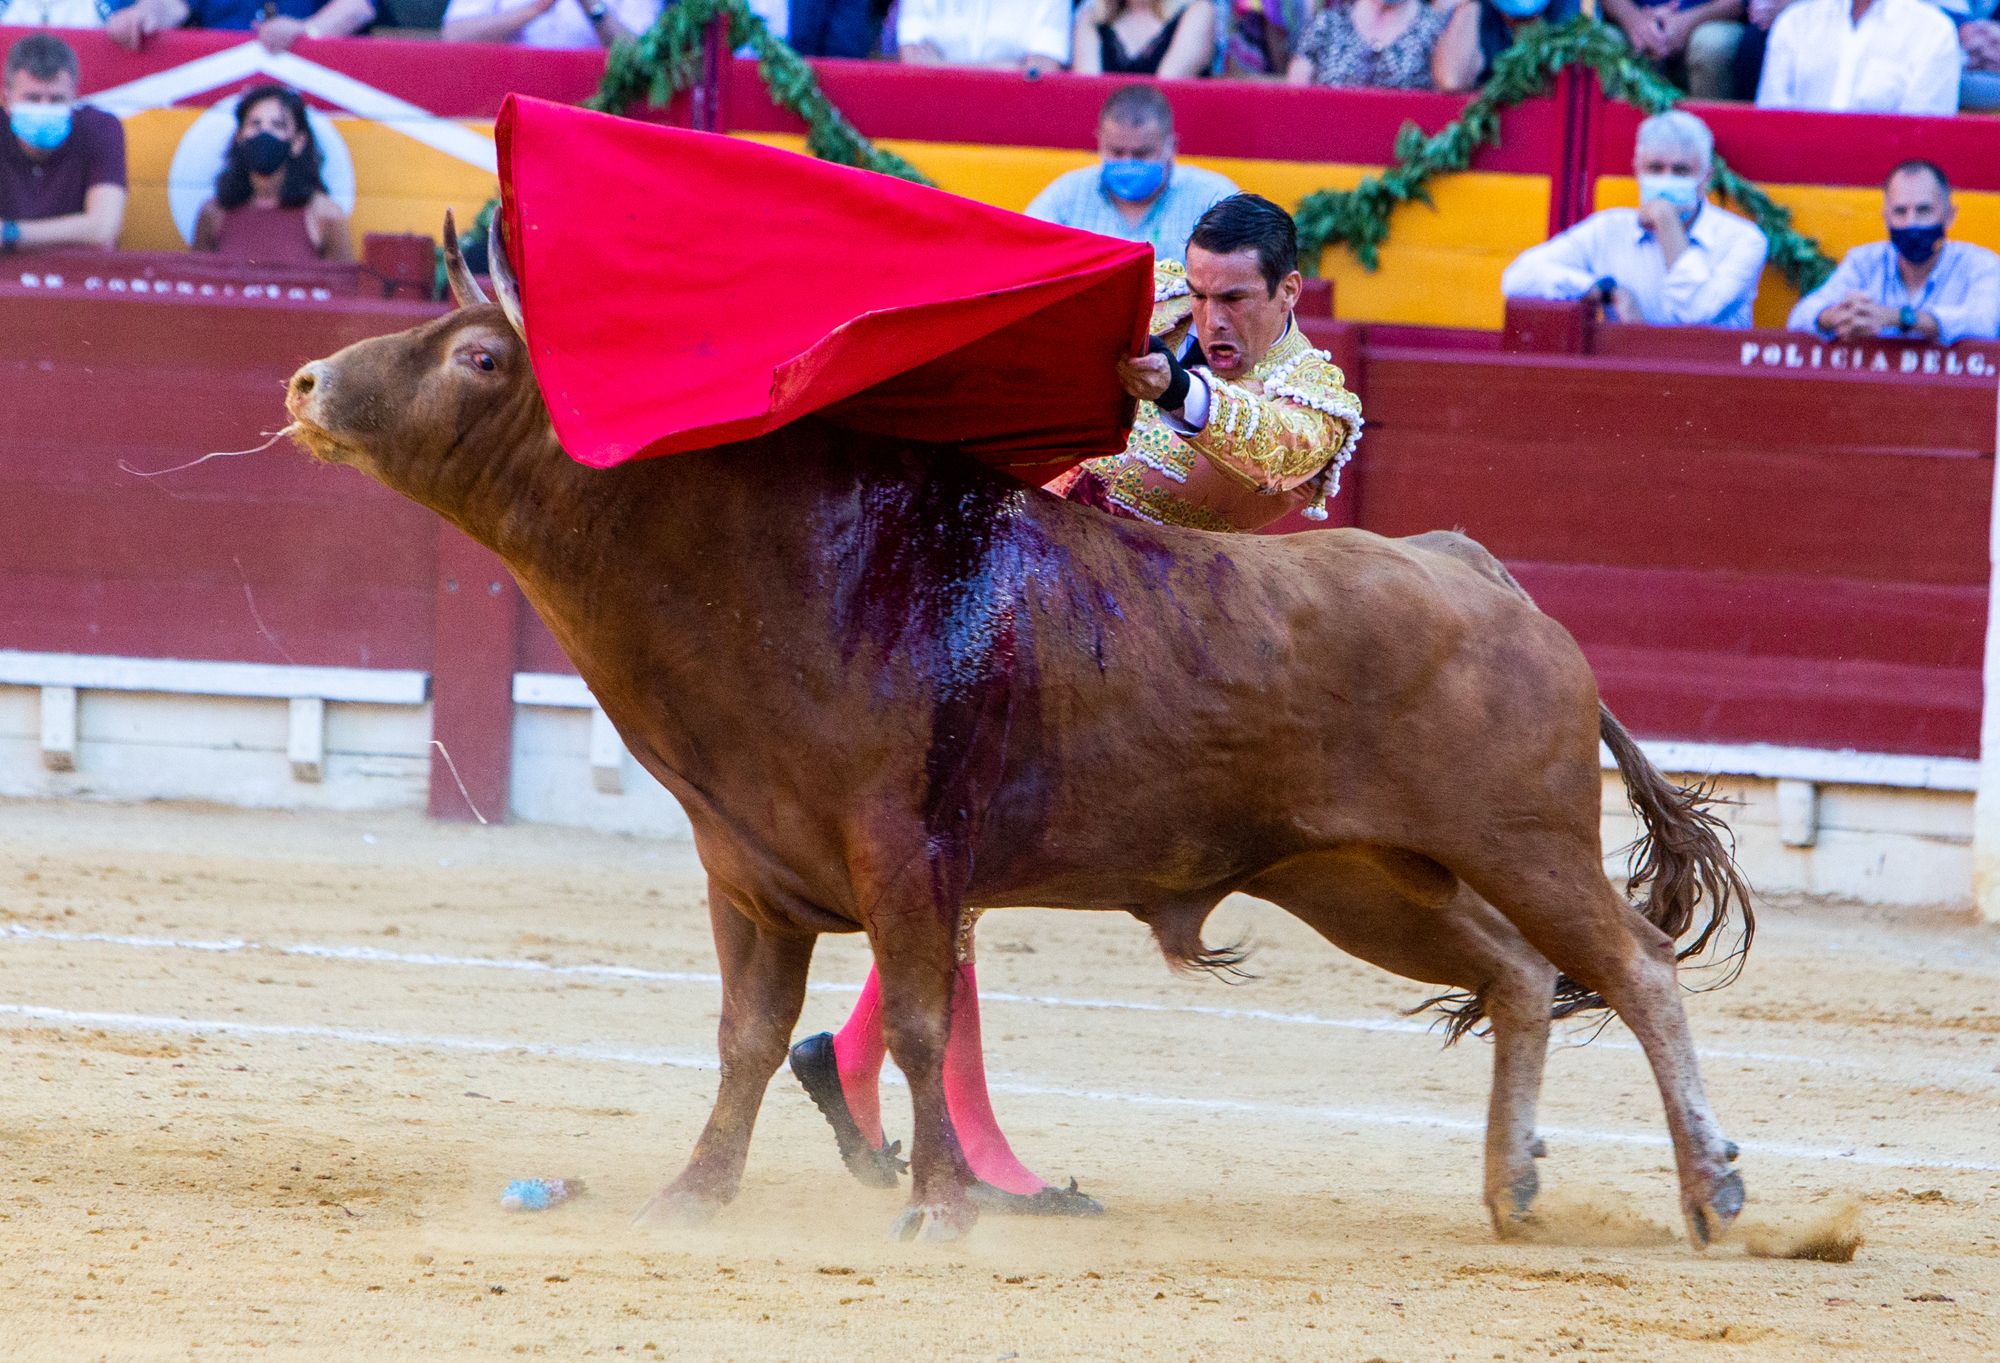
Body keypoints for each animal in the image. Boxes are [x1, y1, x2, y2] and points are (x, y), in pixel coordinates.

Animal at [282, 217, 1752, 1247]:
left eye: (479, 355)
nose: (302, 383)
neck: (778, 564)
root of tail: (1475, 568)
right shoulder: (748, 872)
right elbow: (749, 1034)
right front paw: (695, 1194)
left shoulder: (906, 859)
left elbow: (923, 1022)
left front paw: (937, 1206)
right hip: (1355, 877)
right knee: (1516, 974)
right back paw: (1512, 1185)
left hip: (1520, 839)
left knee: (1631, 968)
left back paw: (1713, 1189)